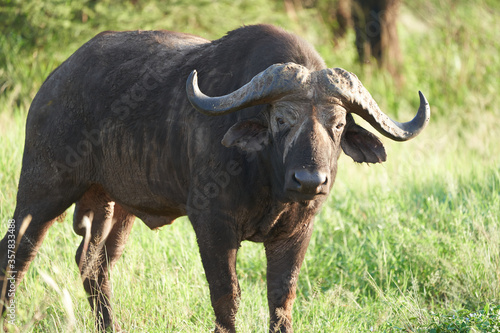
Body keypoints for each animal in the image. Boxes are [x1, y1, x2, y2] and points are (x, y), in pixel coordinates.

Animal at [0, 24, 430, 330]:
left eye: (338, 124)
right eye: (282, 119)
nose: (310, 181)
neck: (268, 182)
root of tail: (54, 82)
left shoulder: (297, 231)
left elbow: (281, 300)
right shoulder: (212, 224)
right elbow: (227, 296)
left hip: (114, 206)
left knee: (92, 263)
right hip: (42, 190)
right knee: (17, 251)